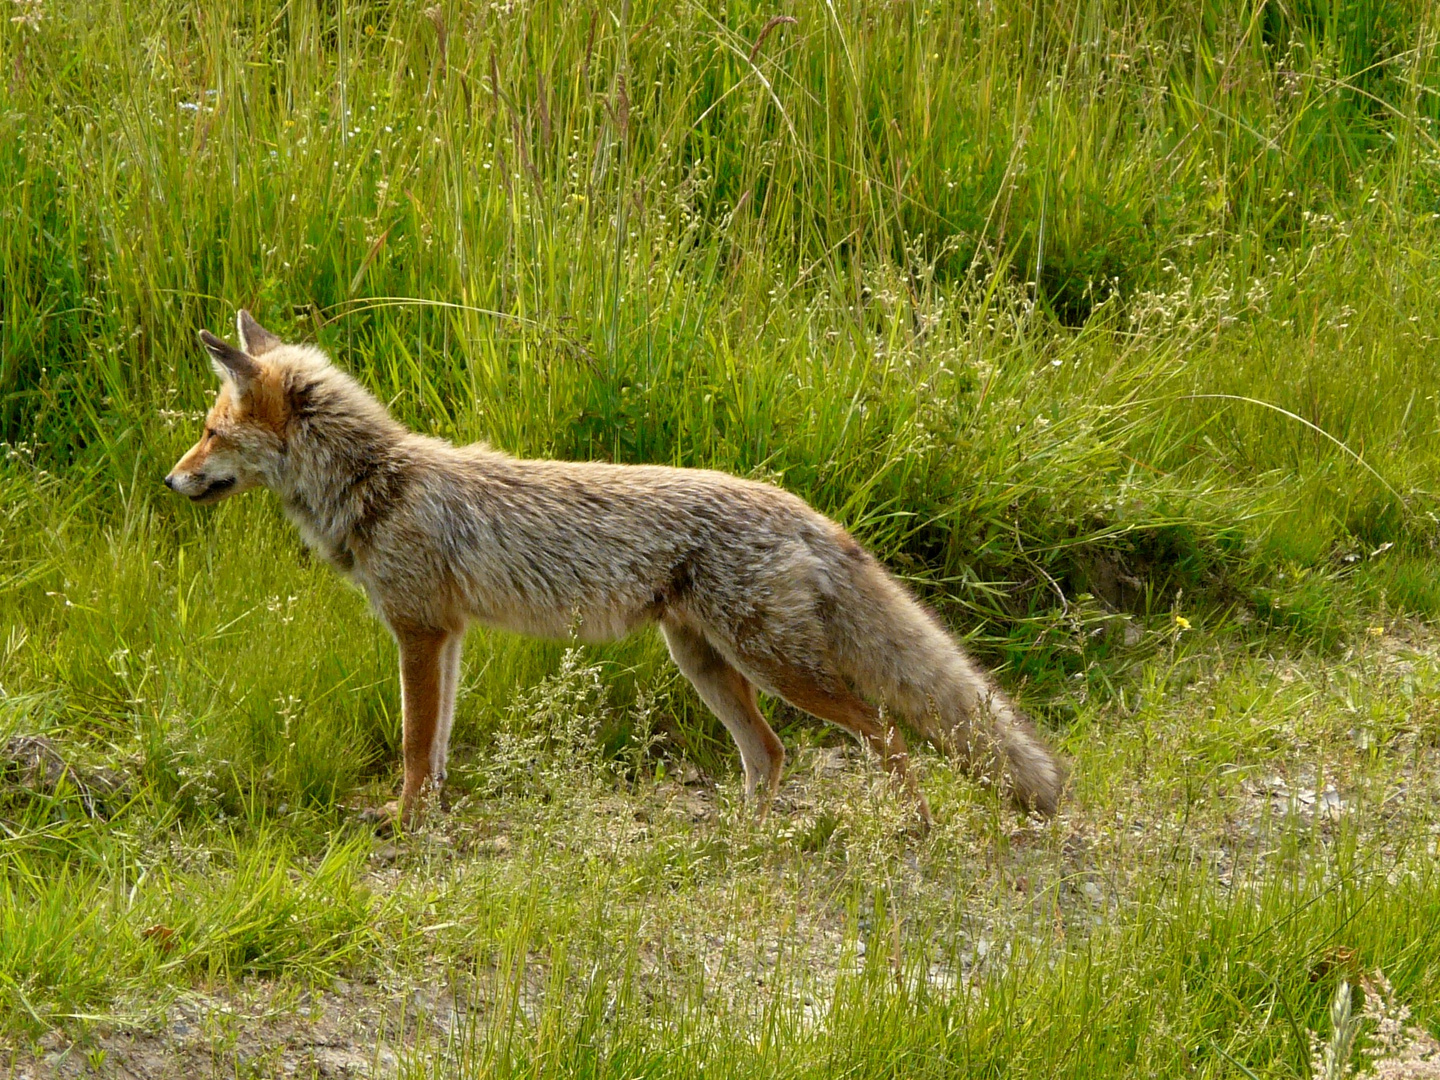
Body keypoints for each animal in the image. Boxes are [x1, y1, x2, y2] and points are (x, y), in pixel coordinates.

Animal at [163, 308, 1065, 835]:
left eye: (209, 432)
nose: (169, 482)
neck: (380, 486)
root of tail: (798, 506)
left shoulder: (419, 631)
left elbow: (418, 744)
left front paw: (405, 818)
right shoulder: (446, 636)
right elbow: (439, 741)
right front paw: (428, 814)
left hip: (771, 667)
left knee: (879, 728)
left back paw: (910, 823)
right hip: (706, 664)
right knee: (773, 753)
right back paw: (745, 840)